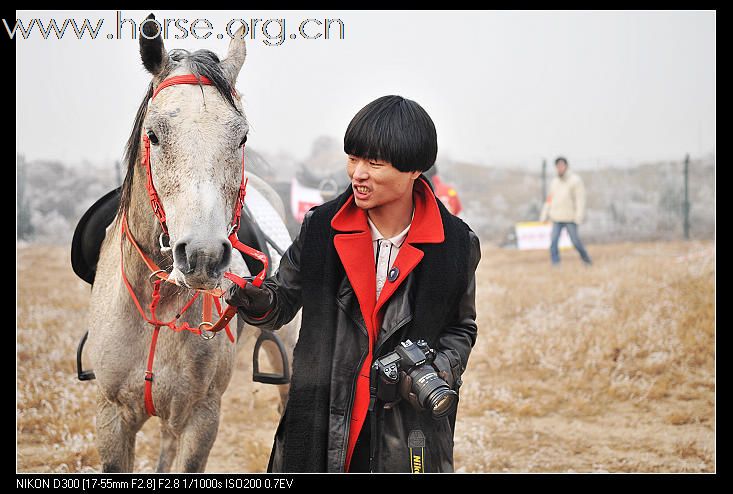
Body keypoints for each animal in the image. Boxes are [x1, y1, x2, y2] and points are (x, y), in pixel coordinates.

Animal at [87, 13, 298, 472]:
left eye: (241, 137)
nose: (202, 256)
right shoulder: (111, 415)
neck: (155, 306)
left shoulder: (202, 417)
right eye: (154, 134)